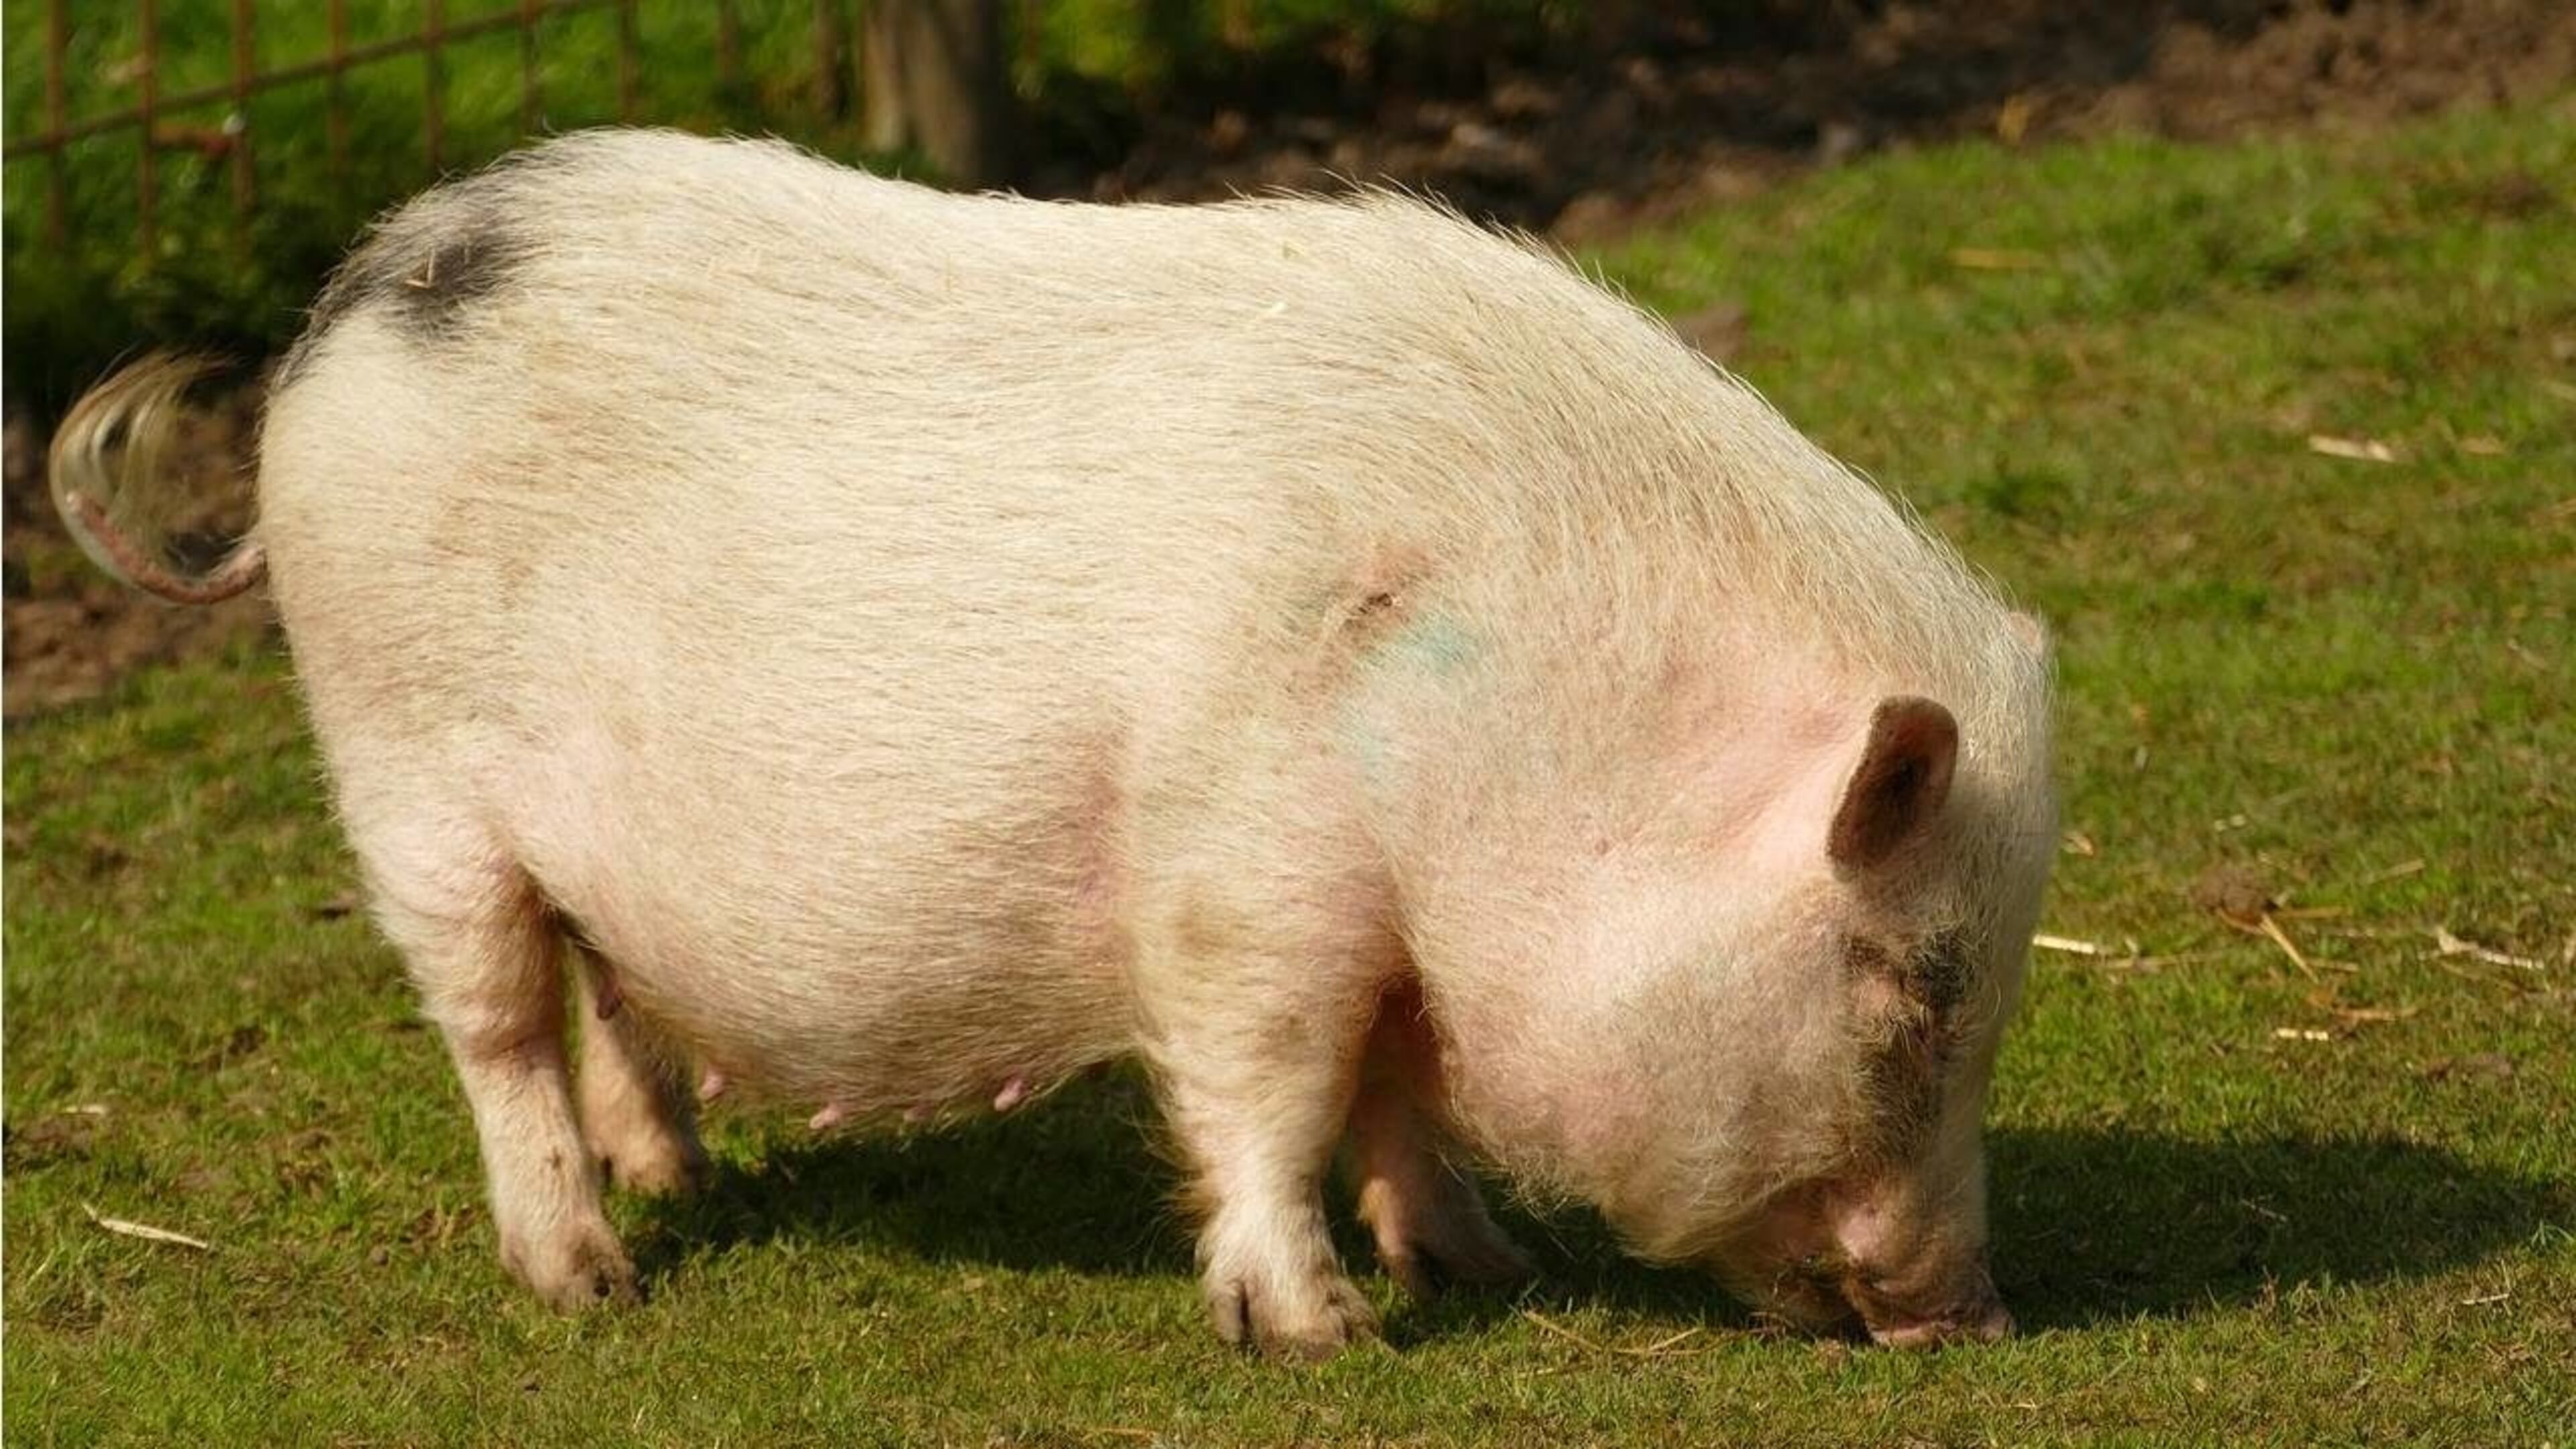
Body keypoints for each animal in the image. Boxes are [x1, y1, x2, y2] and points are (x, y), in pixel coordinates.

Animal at [50, 129, 2054, 1357]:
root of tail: (353, 302)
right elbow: (1273, 1084)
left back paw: (677, 1178)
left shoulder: (1393, 925)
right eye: (1917, 986)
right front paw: (1317, 1332)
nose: (1970, 1313)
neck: (1528, 721)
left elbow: (1396, 1089)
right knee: (494, 1024)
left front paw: (1489, 1262)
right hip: (403, 770)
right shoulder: (1246, 870)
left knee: (605, 983)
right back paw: (591, 1281)